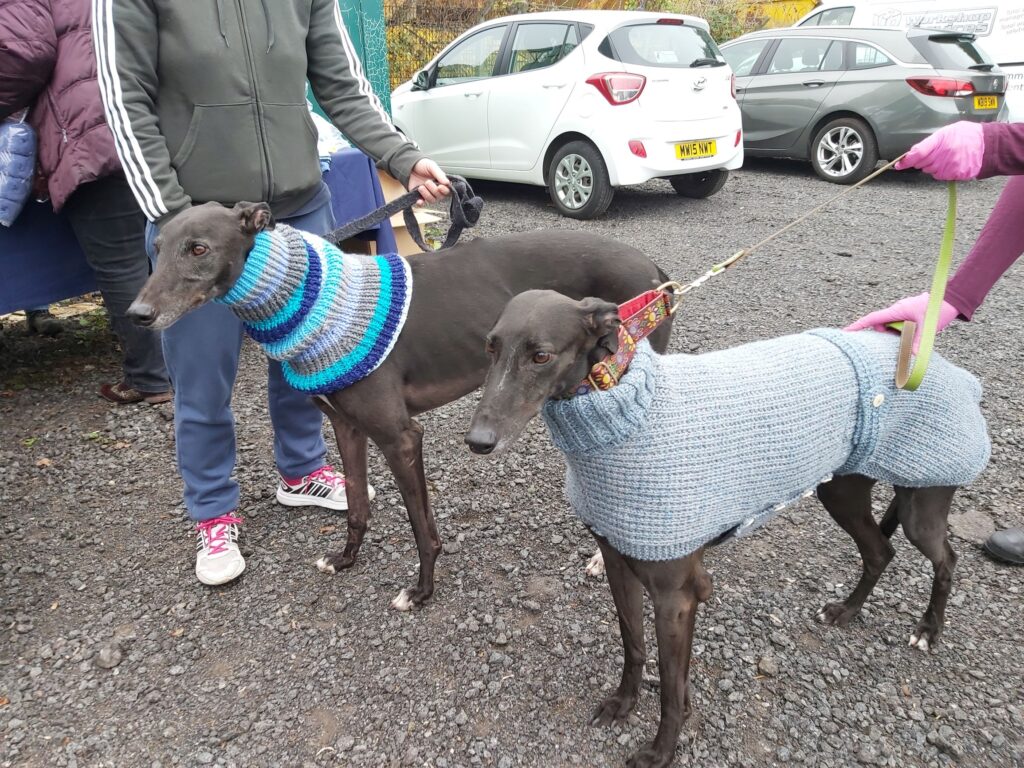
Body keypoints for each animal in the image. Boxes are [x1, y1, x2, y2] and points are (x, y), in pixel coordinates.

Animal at [126, 201, 673, 609]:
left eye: (199, 248)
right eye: (157, 249)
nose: (137, 314)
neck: (311, 300)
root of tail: (654, 270)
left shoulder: (401, 437)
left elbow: (420, 527)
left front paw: (423, 590)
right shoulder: (347, 428)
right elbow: (357, 507)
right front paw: (345, 558)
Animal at [465, 290, 990, 768]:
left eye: (541, 355)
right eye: (489, 347)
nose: (479, 441)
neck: (625, 414)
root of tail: (942, 365)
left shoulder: (676, 595)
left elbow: (671, 685)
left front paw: (662, 751)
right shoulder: (618, 561)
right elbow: (633, 645)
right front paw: (622, 704)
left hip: (923, 497)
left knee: (946, 558)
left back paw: (928, 630)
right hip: (843, 490)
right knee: (881, 551)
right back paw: (846, 610)